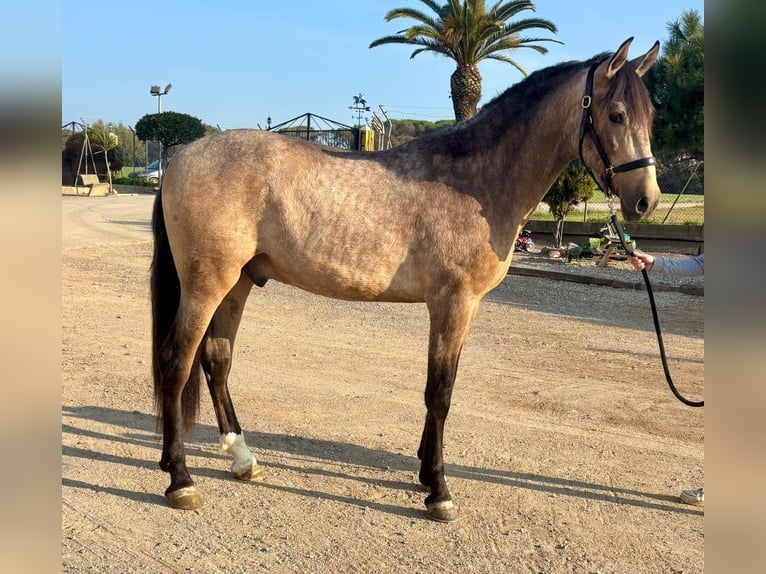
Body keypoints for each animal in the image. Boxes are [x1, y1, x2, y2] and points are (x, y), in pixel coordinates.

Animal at [151, 38, 661, 522]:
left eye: (650, 115)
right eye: (616, 114)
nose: (646, 201)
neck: (475, 182)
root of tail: (181, 158)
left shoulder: (464, 307)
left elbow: (442, 388)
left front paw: (424, 472)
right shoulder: (453, 302)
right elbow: (440, 392)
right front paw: (438, 490)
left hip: (237, 284)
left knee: (217, 360)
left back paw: (242, 458)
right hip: (206, 284)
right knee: (176, 362)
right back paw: (180, 480)